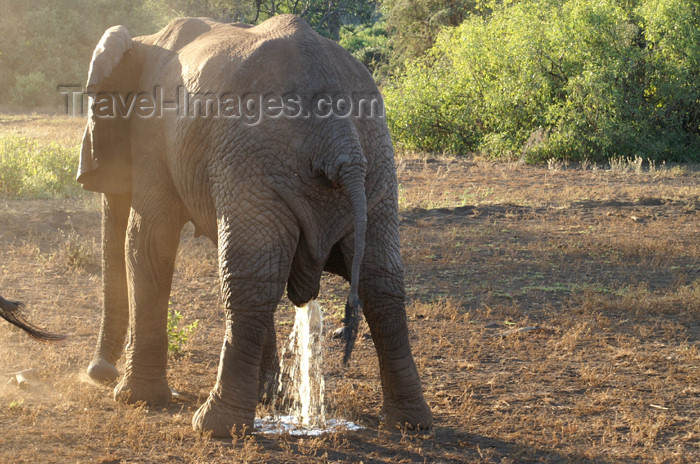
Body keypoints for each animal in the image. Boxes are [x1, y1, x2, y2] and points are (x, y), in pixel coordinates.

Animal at [80, 12, 432, 436]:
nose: (98, 372)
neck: (144, 40)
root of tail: (340, 139)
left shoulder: (154, 140)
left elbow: (147, 243)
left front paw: (135, 399)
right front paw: (268, 398)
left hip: (257, 161)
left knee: (250, 281)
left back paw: (214, 426)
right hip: (375, 159)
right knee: (380, 281)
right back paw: (409, 422)